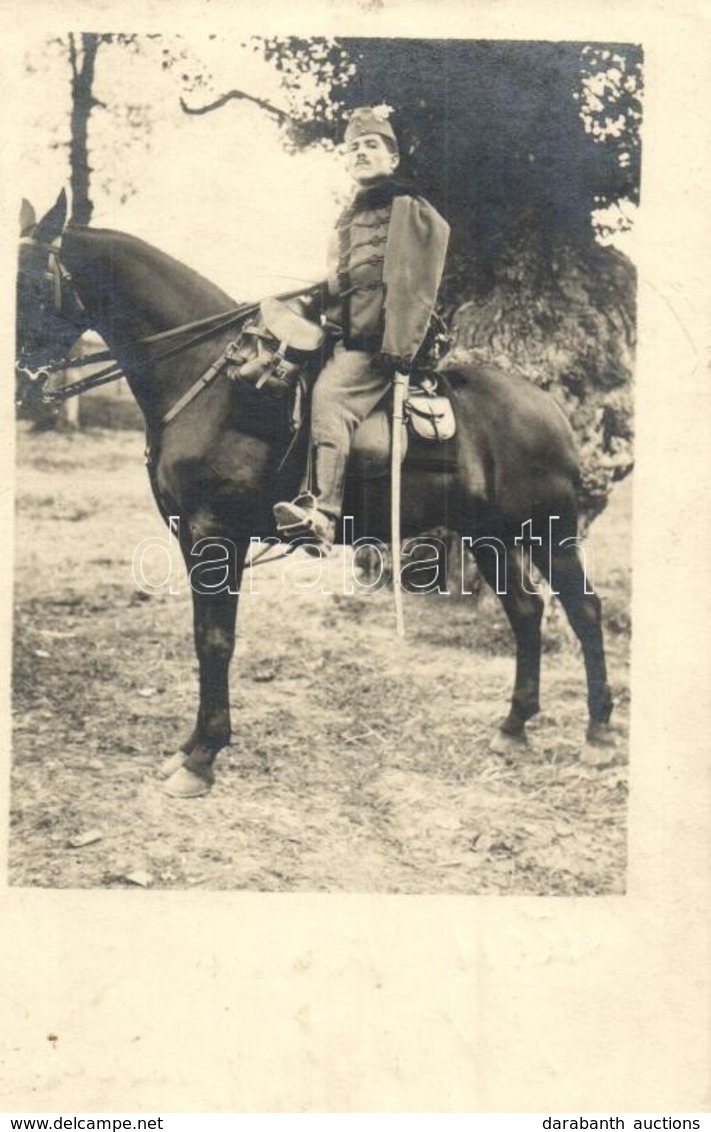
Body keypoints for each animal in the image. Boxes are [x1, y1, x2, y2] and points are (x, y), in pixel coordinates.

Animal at [18, 192, 615, 796]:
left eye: (32, 280)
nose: (21, 383)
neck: (207, 379)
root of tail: (549, 410)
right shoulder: (191, 537)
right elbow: (202, 633)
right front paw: (190, 747)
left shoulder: (216, 535)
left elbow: (216, 639)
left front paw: (203, 756)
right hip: (489, 536)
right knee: (526, 610)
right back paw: (514, 726)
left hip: (549, 534)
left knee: (584, 610)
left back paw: (599, 735)